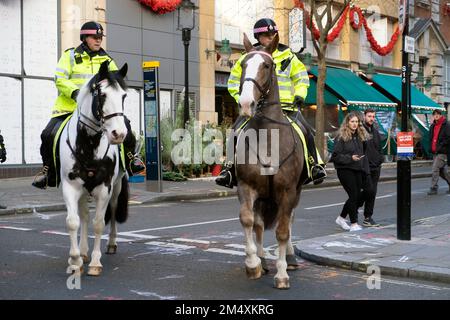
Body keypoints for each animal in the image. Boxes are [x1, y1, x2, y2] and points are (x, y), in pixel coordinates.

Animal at [59, 61, 129, 276]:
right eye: (103, 95)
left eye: (124, 96)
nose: (118, 134)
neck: (89, 145)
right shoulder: (70, 187)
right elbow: (73, 221)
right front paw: (75, 260)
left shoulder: (104, 188)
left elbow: (98, 224)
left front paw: (96, 263)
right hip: (83, 190)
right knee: (83, 215)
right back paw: (83, 252)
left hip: (116, 188)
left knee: (112, 211)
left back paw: (112, 244)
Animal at [236, 33, 306, 290]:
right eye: (242, 64)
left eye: (267, 65)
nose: (246, 103)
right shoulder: (246, 186)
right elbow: (248, 220)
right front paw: (253, 264)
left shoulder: (287, 191)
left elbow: (283, 231)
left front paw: (282, 274)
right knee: (258, 224)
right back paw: (263, 259)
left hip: (296, 192)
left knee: (290, 220)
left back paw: (290, 258)